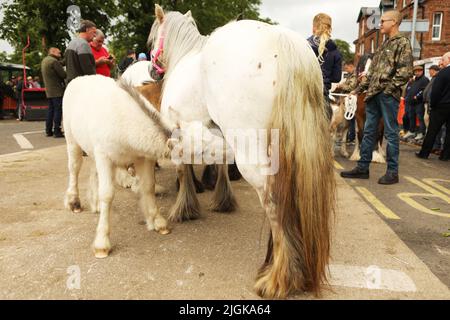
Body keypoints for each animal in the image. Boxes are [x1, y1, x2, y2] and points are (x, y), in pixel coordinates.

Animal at [146, 5, 336, 298]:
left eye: (153, 38)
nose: (152, 71)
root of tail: (281, 38)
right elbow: (219, 165)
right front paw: (220, 199)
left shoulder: (177, 131)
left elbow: (183, 169)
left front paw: (185, 207)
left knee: (274, 202)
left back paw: (279, 278)